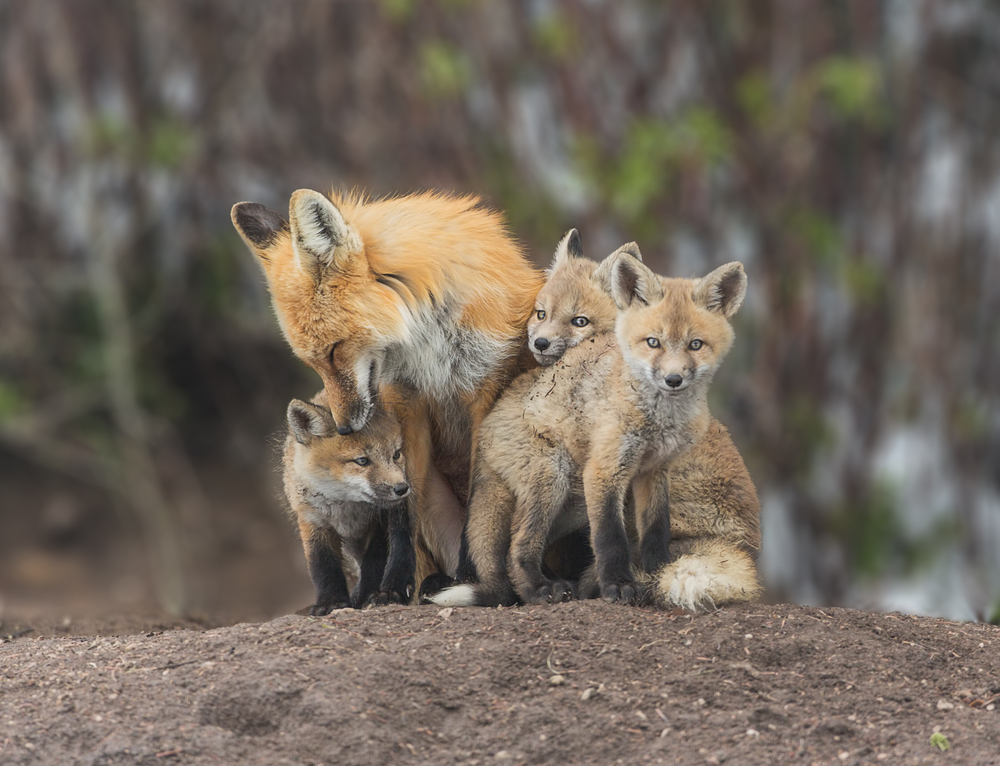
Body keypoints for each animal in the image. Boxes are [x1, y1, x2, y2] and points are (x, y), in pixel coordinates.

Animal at [233, 190, 544, 585]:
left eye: (333, 351)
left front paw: (472, 574)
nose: (344, 429)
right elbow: (401, 510)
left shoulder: (485, 389)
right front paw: (395, 583)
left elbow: (480, 499)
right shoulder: (405, 402)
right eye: (314, 362)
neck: (428, 341)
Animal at [283, 390, 417, 614]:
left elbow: (374, 563)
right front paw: (331, 602)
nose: (402, 488)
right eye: (362, 461)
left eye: (396, 454)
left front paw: (366, 596)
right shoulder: (312, 520)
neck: (345, 507)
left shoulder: (377, 522)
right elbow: (322, 566)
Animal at [434, 245, 758, 608]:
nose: (673, 379)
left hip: (571, 500)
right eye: (540, 314)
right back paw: (539, 589)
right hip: (554, 477)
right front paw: (618, 586)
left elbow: (654, 531)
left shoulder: (655, 470)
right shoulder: (604, 469)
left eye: (696, 345)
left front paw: (656, 570)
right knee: (517, 548)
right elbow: (609, 539)